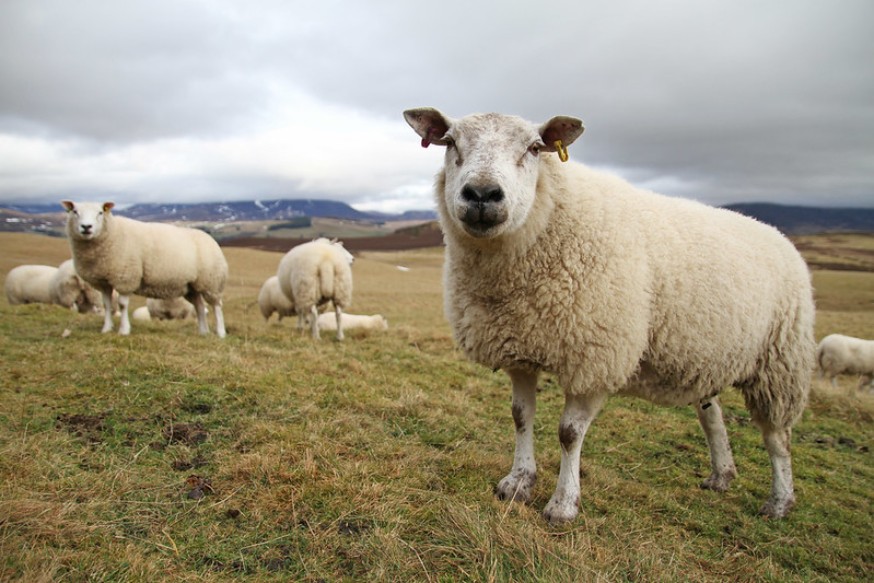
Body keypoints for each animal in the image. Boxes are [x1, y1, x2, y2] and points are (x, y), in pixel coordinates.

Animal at [61, 200, 228, 337]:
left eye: (100, 212)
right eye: (75, 211)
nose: (86, 227)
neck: (112, 232)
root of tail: (210, 239)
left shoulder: (126, 277)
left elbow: (122, 305)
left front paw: (124, 330)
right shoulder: (104, 282)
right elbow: (107, 305)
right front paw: (106, 329)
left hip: (211, 282)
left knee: (216, 306)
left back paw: (220, 333)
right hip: (191, 287)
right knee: (199, 306)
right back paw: (203, 332)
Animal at [404, 107, 815, 523]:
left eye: (535, 148)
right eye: (449, 142)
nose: (482, 194)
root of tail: (779, 237)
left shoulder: (595, 357)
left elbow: (569, 433)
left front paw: (563, 504)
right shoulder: (519, 348)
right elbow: (520, 416)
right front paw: (518, 482)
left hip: (780, 362)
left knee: (777, 436)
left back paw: (780, 500)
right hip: (709, 358)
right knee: (712, 416)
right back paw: (721, 475)